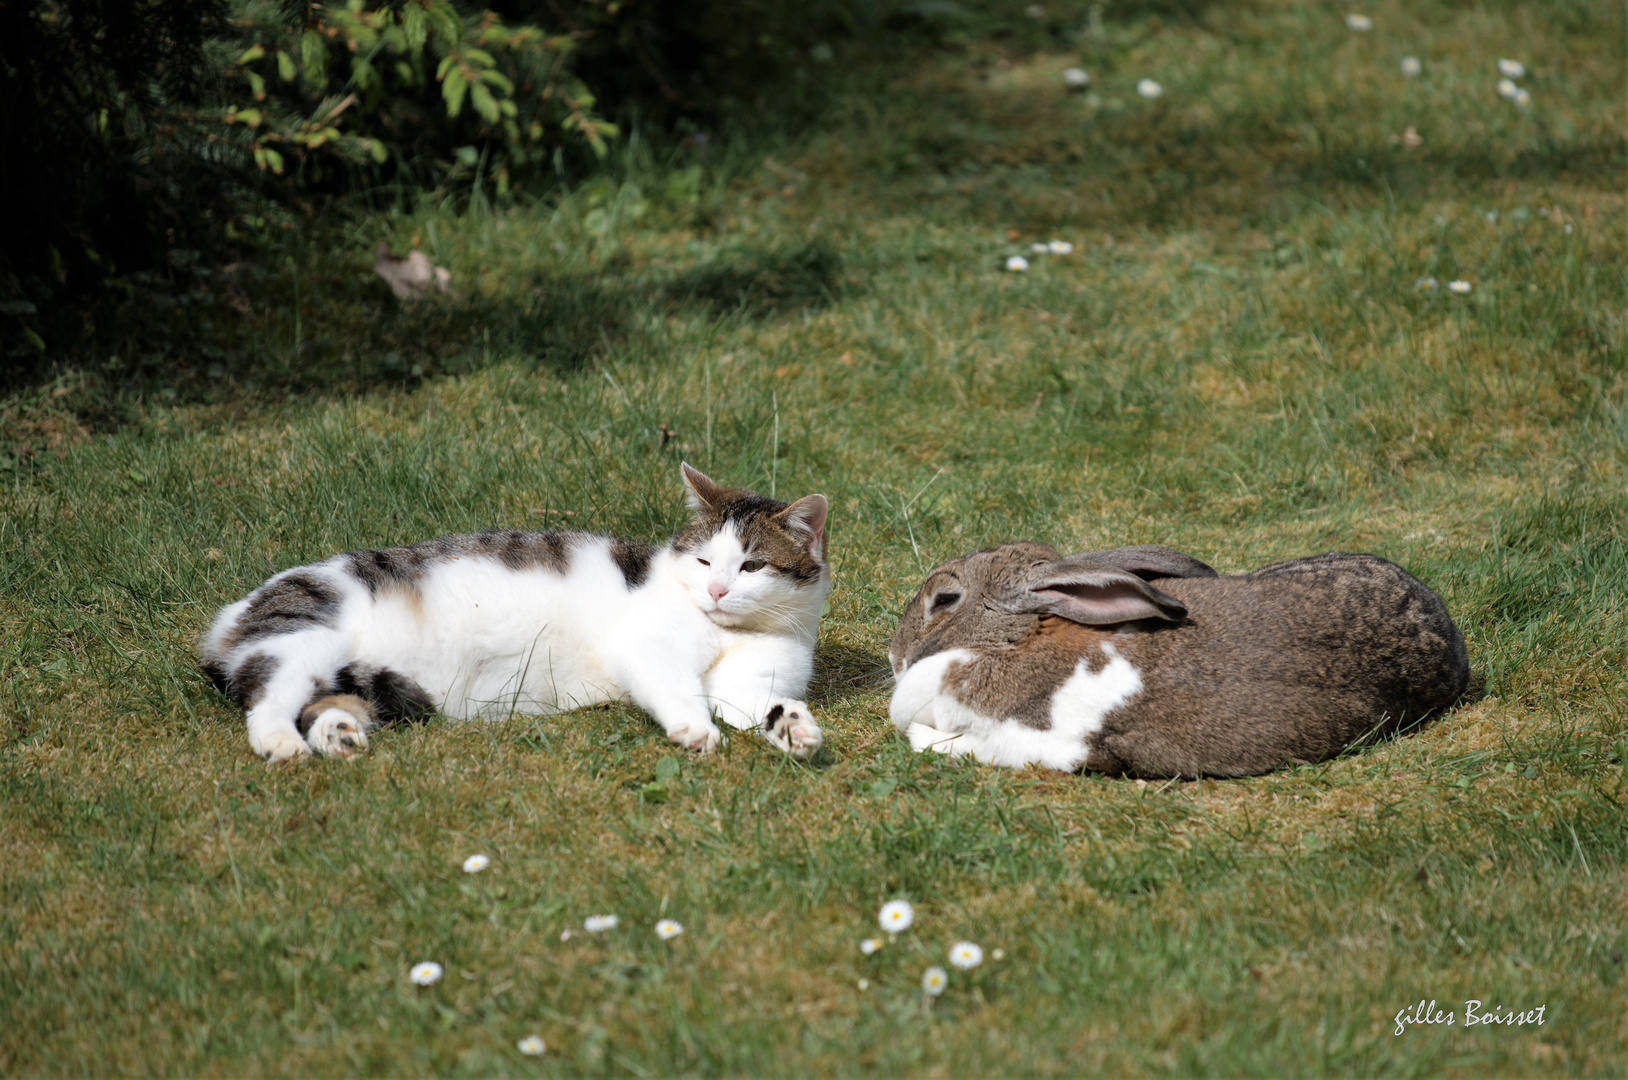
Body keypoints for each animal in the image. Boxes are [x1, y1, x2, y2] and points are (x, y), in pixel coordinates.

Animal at [203, 469, 833, 765]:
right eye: (704, 561)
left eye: (751, 566)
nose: (719, 590)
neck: (725, 631)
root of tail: (230, 615)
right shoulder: (648, 646)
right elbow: (678, 688)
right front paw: (695, 729)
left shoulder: (750, 680)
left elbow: (755, 703)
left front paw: (792, 727)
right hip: (304, 633)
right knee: (267, 699)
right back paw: (282, 743)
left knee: (323, 700)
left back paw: (337, 733)